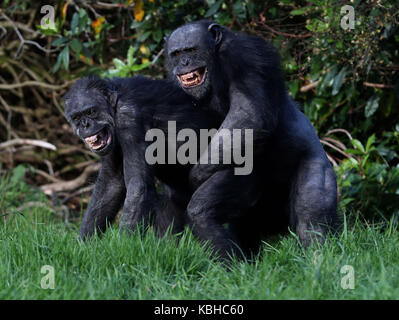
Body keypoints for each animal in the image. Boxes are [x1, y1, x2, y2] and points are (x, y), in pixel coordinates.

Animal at [164, 20, 340, 258]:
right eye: (176, 53)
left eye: (191, 50)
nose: (184, 62)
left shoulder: (245, 55)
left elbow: (249, 114)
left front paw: (196, 175)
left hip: (314, 167)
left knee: (311, 218)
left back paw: (318, 258)